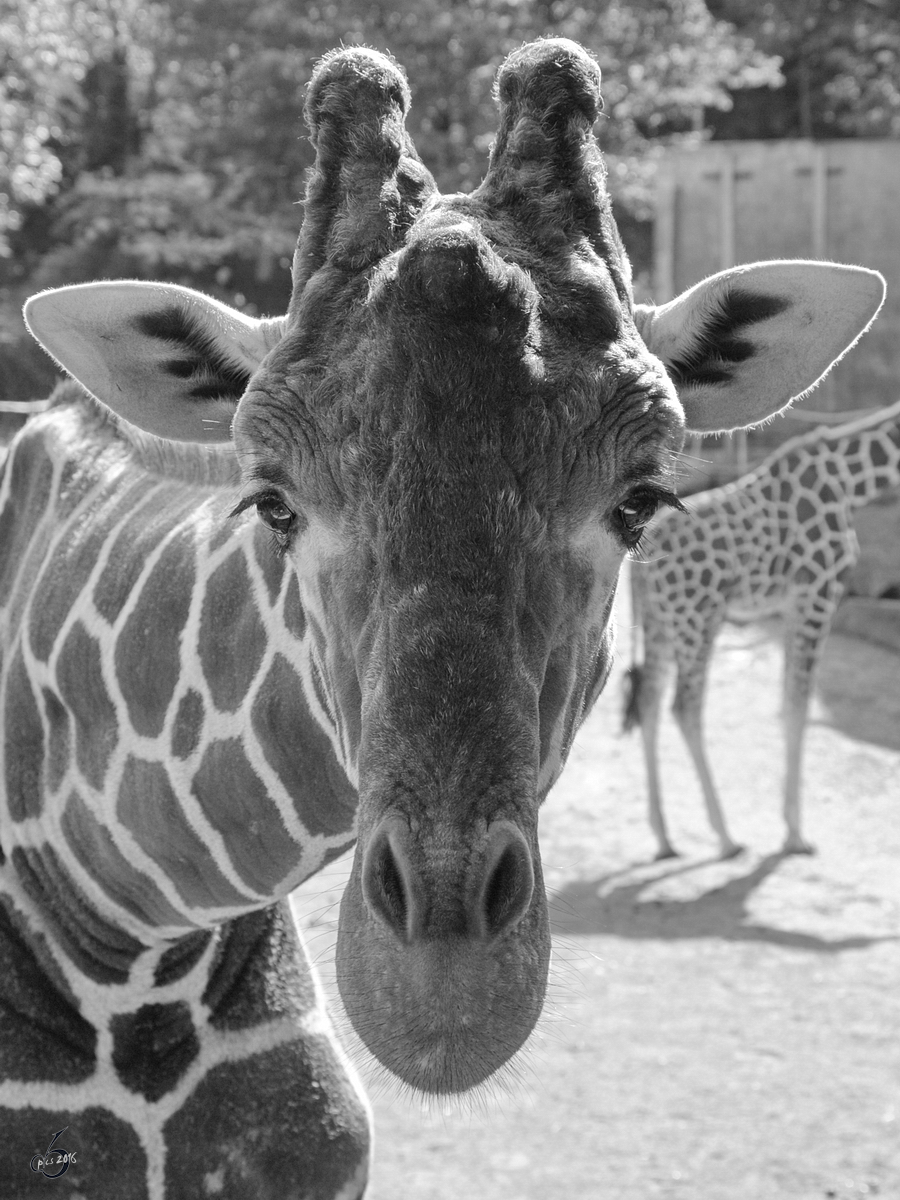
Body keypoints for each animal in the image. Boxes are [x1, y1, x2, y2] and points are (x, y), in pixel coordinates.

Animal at [628, 396, 900, 864]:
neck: (855, 480)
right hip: (696, 616)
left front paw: (790, 827)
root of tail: (638, 566)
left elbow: (787, 703)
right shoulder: (818, 594)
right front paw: (796, 835)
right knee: (685, 707)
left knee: (648, 701)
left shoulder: (791, 606)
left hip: (659, 619)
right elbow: (798, 706)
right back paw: (725, 837)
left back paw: (664, 839)